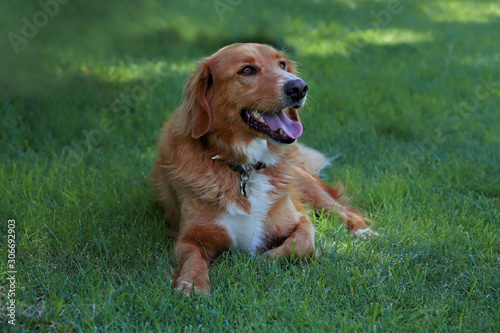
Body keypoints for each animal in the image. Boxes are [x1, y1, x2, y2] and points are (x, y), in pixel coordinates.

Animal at [152, 42, 376, 294]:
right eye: (247, 70)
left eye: (282, 65)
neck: (245, 169)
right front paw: (193, 283)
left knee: (345, 210)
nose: (299, 87)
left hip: (309, 188)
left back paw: (364, 231)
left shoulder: (300, 219)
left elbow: (302, 244)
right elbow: (193, 257)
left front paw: (267, 258)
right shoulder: (189, 237)